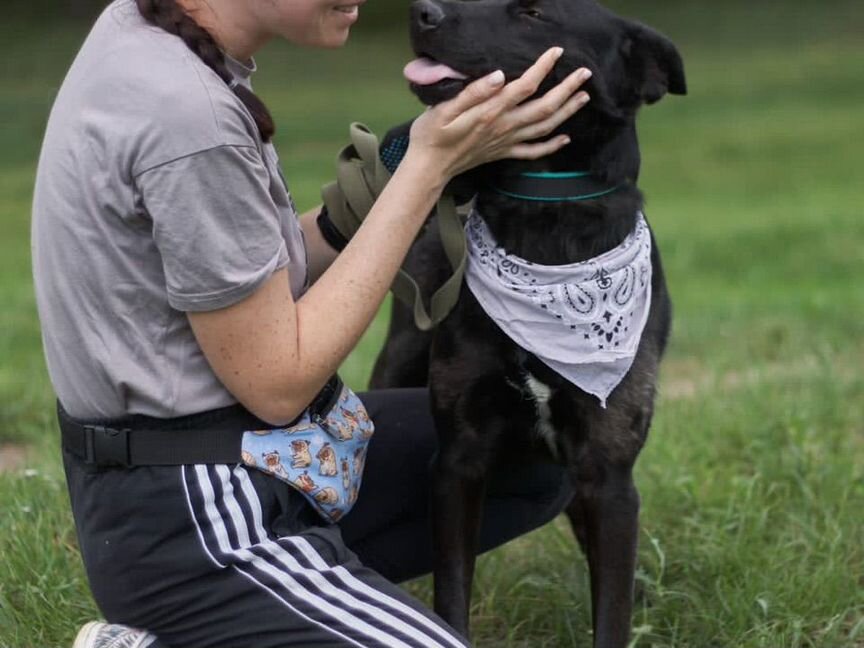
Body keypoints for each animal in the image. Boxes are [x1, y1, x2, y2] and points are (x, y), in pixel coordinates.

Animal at [368, 2, 684, 644]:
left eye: (535, 12)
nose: (422, 11)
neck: (545, 218)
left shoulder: (609, 473)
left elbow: (610, 608)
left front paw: (627, 603)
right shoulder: (458, 461)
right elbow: (452, 593)